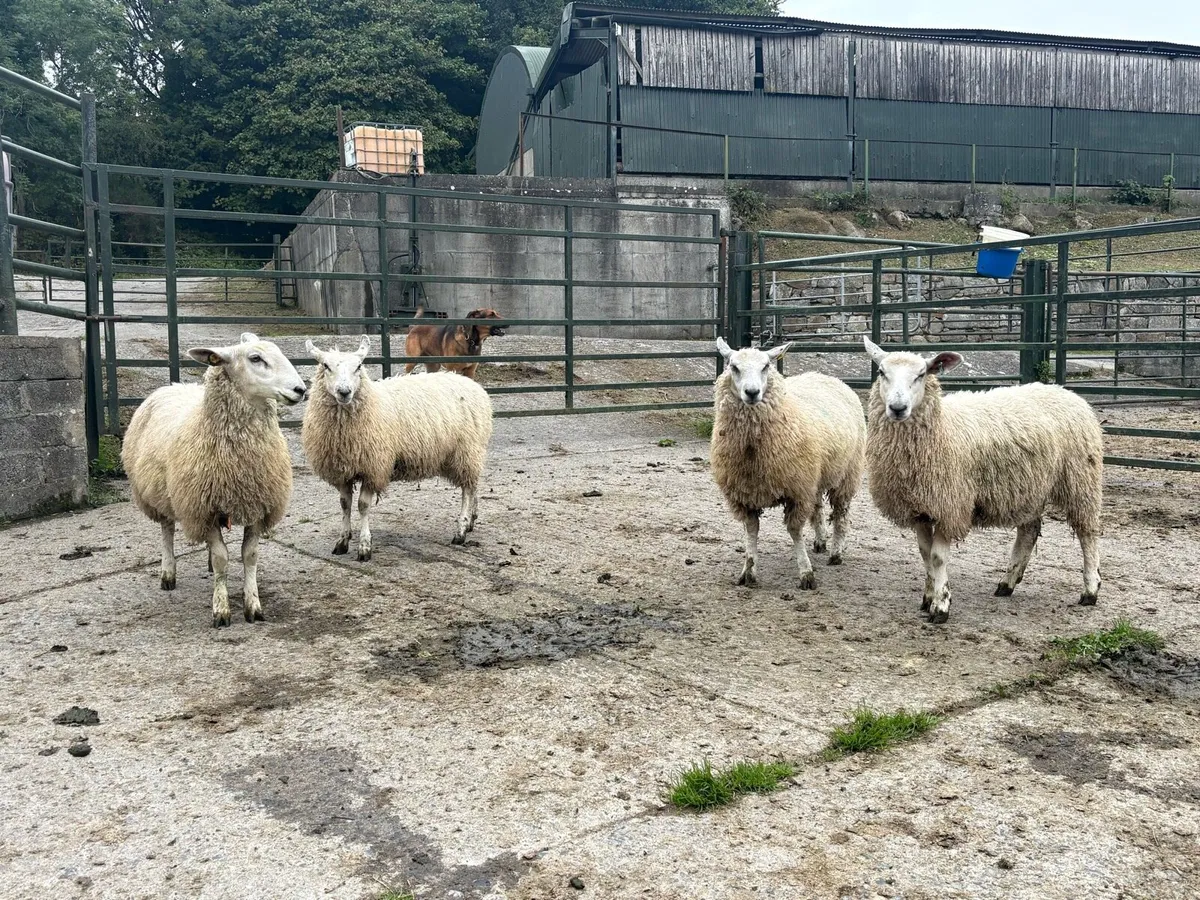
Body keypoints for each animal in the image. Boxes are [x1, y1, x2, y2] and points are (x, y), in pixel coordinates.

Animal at [121, 334, 307, 627]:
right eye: (255, 358)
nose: (301, 389)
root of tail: (173, 385)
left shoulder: (258, 503)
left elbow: (249, 556)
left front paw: (253, 605)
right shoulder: (202, 508)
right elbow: (222, 559)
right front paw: (221, 609)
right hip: (161, 494)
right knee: (167, 530)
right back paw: (168, 573)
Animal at [301, 336, 493, 558]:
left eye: (359, 366)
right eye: (325, 366)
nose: (344, 392)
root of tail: (472, 384)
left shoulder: (373, 467)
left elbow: (362, 506)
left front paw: (364, 546)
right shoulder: (343, 469)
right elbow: (344, 505)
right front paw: (342, 541)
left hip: (466, 451)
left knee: (467, 490)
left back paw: (461, 530)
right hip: (466, 453)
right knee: (474, 484)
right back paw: (471, 521)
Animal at [710, 337, 866, 589]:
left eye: (766, 366)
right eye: (733, 366)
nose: (752, 392)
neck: (753, 451)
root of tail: (824, 375)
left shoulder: (797, 490)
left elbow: (794, 530)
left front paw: (806, 573)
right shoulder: (746, 493)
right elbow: (751, 531)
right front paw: (748, 571)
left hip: (847, 474)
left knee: (841, 513)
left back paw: (836, 552)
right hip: (816, 475)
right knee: (818, 508)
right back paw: (821, 541)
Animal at [862, 337, 1104, 624]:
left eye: (921, 374)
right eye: (881, 372)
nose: (898, 408)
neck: (942, 428)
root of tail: (1065, 392)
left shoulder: (950, 505)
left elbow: (937, 558)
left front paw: (941, 606)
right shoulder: (920, 507)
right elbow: (924, 554)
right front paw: (928, 598)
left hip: (1080, 479)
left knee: (1087, 532)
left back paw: (1090, 589)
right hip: (1029, 486)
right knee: (1029, 531)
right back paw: (1007, 583)